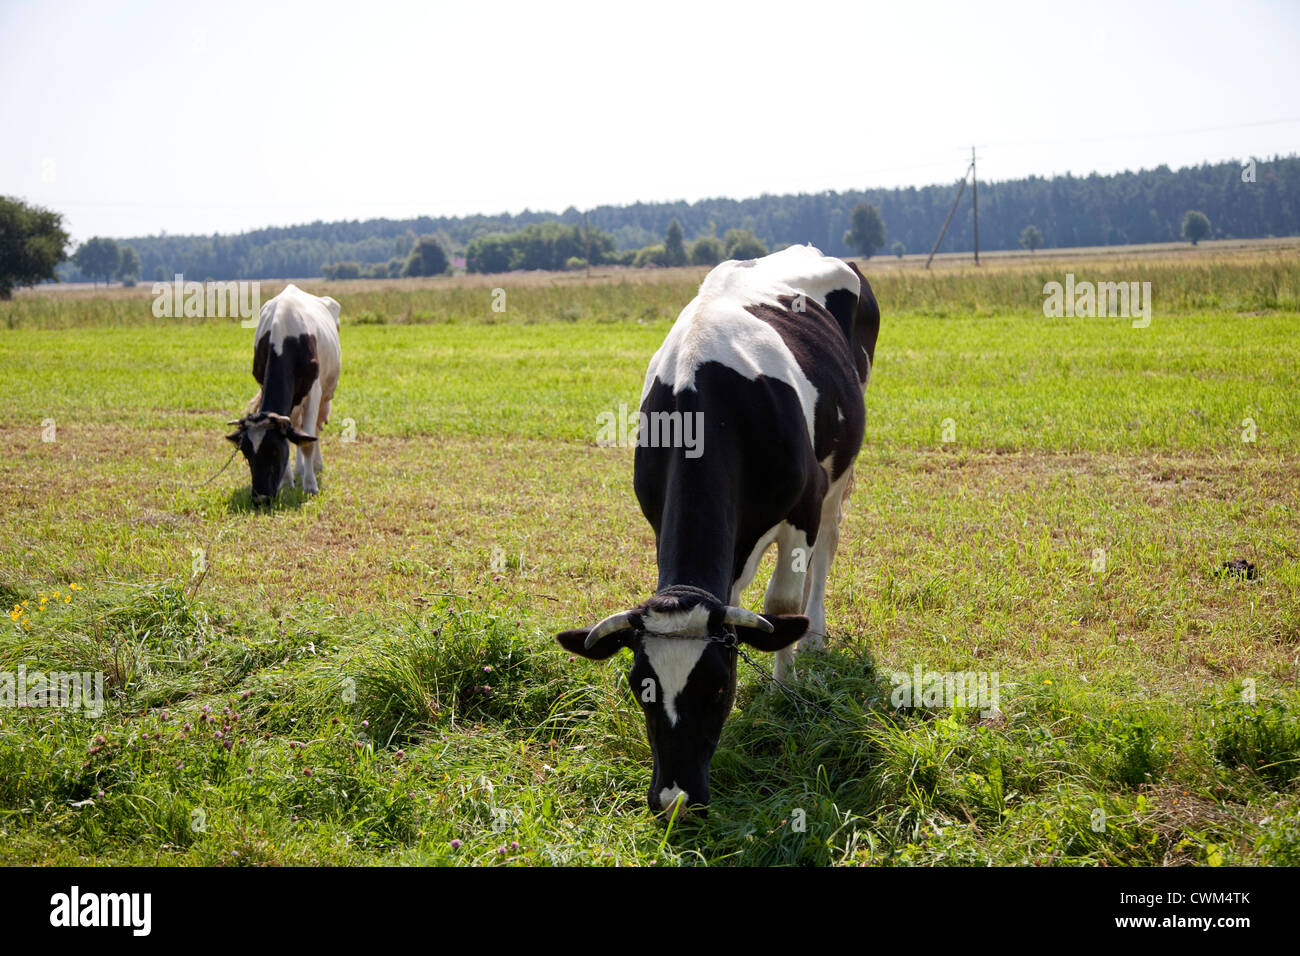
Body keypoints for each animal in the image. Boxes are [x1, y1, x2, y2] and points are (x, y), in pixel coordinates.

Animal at [226, 283, 343, 504]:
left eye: (274, 451)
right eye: (246, 454)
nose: (261, 498)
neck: (285, 339)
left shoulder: (314, 391)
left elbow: (307, 442)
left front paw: (310, 485)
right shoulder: (263, 382)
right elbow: (292, 436)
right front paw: (287, 482)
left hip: (323, 394)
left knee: (313, 431)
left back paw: (315, 466)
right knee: (298, 427)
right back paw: (299, 470)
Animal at [553, 244, 878, 816]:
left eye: (719, 688)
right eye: (640, 688)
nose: (675, 799)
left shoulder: (805, 503)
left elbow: (781, 604)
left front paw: (783, 690)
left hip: (840, 470)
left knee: (827, 548)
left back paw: (815, 633)